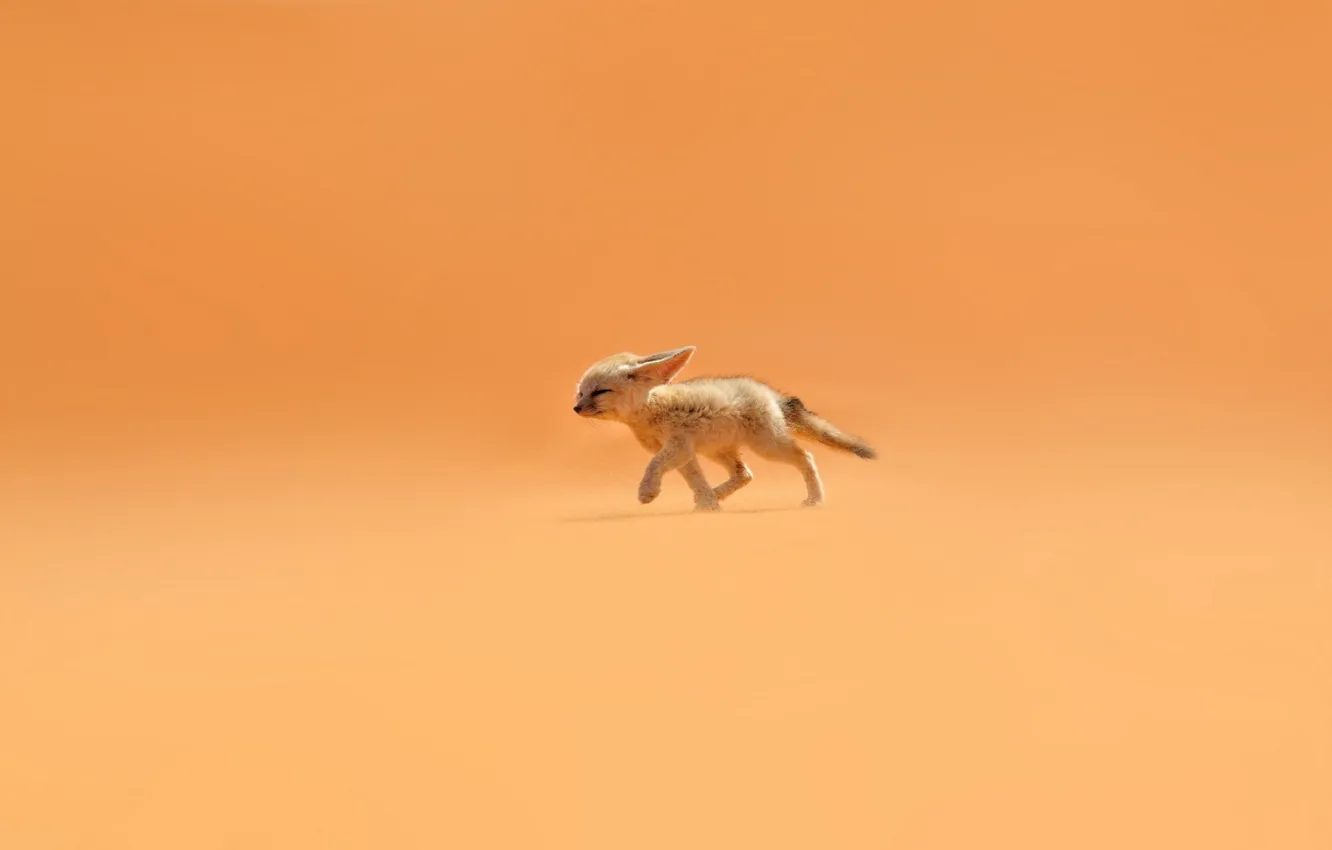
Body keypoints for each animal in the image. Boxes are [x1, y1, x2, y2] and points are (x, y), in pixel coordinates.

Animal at [572, 346, 875, 511]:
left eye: (600, 392)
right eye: (581, 393)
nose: (576, 408)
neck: (651, 411)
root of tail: (769, 392)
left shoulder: (677, 447)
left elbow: (654, 465)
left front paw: (647, 491)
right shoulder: (685, 453)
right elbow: (695, 480)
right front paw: (708, 504)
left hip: (767, 447)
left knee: (806, 458)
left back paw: (815, 499)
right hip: (718, 451)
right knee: (745, 474)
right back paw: (715, 495)